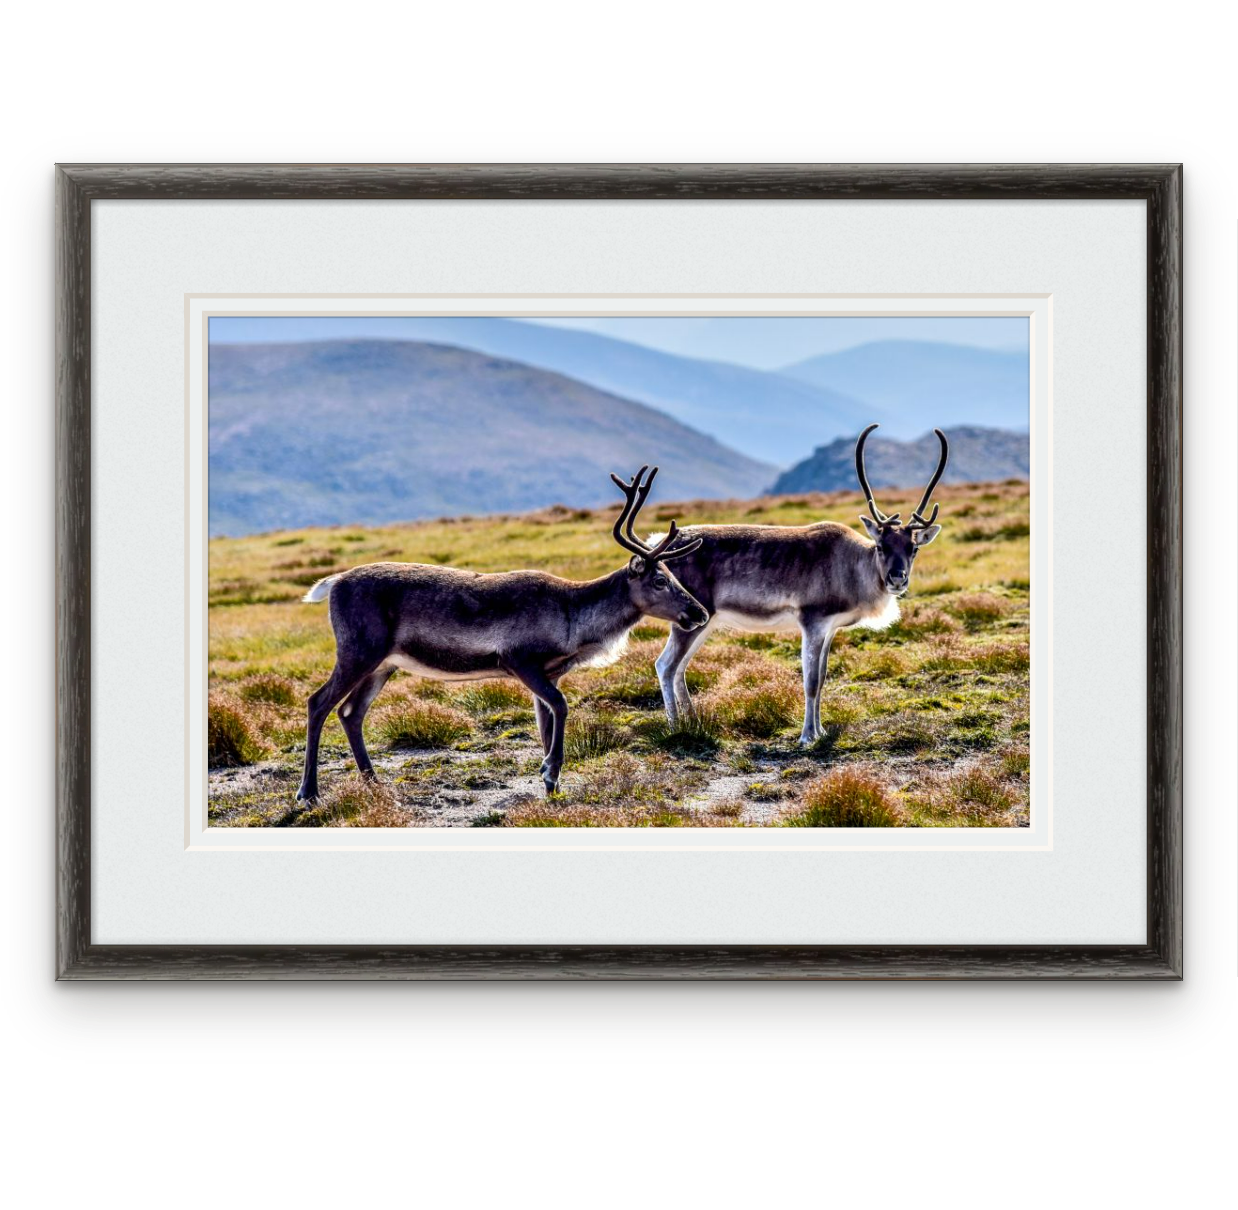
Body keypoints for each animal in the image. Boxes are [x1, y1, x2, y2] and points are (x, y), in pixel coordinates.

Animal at [295, 466, 709, 802]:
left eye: (672, 575)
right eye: (659, 580)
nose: (699, 612)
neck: (573, 620)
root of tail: (332, 584)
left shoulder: (550, 671)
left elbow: (547, 721)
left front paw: (552, 785)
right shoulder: (518, 659)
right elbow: (561, 706)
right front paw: (550, 771)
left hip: (384, 664)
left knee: (351, 713)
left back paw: (374, 783)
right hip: (358, 650)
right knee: (318, 702)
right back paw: (309, 792)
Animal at [650, 425, 949, 745]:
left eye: (913, 548)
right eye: (881, 546)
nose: (897, 578)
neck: (851, 564)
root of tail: (658, 545)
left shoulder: (830, 628)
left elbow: (823, 677)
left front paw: (820, 730)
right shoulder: (812, 622)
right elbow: (811, 681)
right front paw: (807, 736)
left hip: (703, 621)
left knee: (680, 668)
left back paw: (693, 723)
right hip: (688, 621)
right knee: (666, 665)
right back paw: (675, 727)